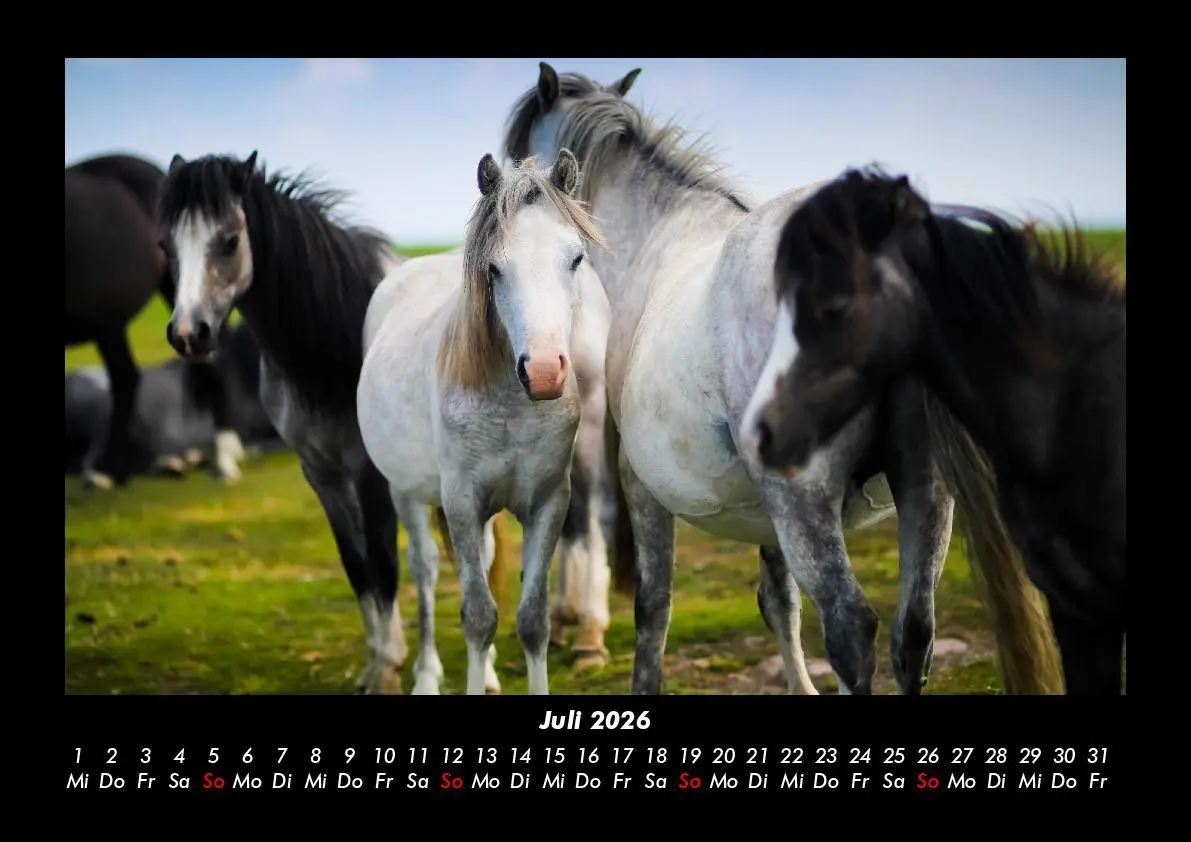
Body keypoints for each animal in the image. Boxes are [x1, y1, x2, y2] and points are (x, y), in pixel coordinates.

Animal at [156, 150, 521, 694]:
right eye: (165, 245)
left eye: (230, 240)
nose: (188, 334)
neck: (330, 337)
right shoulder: (321, 473)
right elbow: (357, 566)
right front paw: (378, 662)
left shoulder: (370, 474)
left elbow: (385, 566)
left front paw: (389, 665)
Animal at [358, 151, 611, 695]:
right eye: (494, 268)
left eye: (576, 259)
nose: (543, 370)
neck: (512, 407)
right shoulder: (462, 504)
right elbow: (478, 616)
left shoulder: (547, 503)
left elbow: (532, 619)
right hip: (406, 493)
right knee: (426, 572)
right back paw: (426, 677)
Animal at [505, 62, 1064, 695]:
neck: (660, 236)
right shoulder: (762, 510)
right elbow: (779, 602)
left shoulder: (643, 484)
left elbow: (653, 608)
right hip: (923, 489)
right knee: (913, 631)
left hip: (807, 501)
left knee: (851, 627)